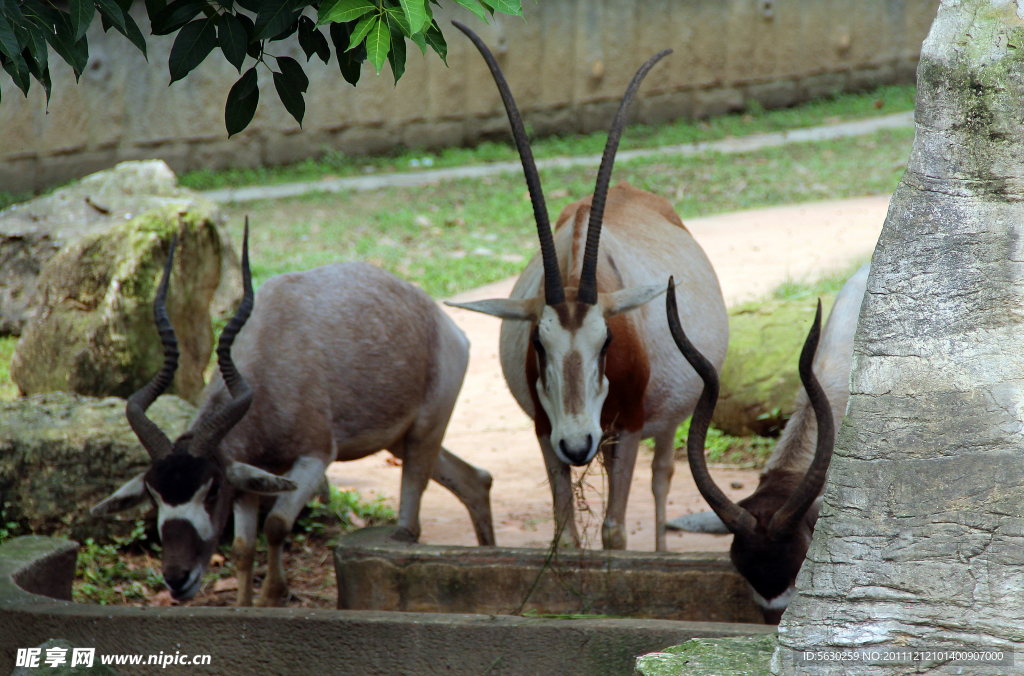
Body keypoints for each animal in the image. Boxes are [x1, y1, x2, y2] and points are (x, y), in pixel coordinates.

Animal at [93, 223, 495, 606]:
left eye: (211, 489)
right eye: (154, 494)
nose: (178, 579)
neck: (270, 350)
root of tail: (446, 326)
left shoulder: (315, 457)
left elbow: (276, 524)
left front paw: (273, 595)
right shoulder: (249, 476)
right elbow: (243, 547)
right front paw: (245, 603)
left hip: (425, 430)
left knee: (413, 513)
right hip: (398, 440)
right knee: (475, 479)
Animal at [446, 23, 729, 553]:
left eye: (607, 340)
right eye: (539, 343)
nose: (578, 445)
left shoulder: (630, 428)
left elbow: (614, 530)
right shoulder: (545, 429)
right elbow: (567, 533)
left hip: (666, 422)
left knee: (662, 476)